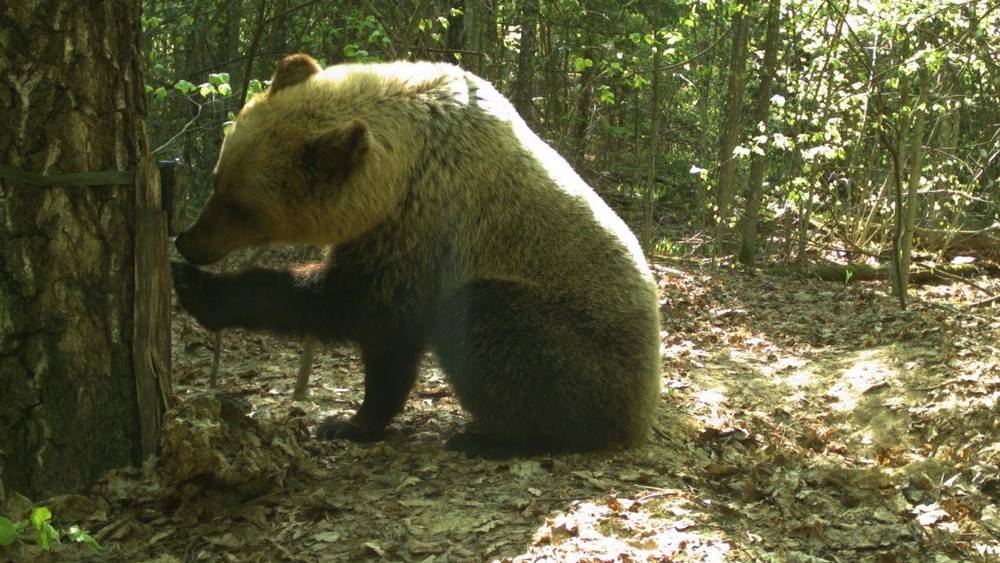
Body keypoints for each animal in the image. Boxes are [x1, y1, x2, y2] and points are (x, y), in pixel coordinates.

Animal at [174, 54, 664, 458]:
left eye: (241, 206)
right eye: (218, 179)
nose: (188, 241)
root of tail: (645, 406)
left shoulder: (425, 228)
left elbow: (363, 314)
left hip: (586, 342)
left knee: (492, 322)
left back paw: (494, 438)